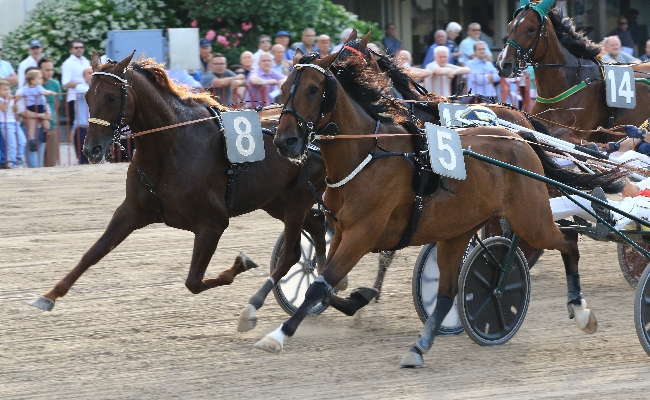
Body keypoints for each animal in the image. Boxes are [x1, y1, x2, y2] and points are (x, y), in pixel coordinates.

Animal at [258, 48, 616, 368]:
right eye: (283, 87)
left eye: (313, 89)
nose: (284, 141)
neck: (368, 153)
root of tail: (520, 138)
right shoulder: (344, 231)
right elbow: (325, 283)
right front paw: (358, 297)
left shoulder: (362, 234)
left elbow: (320, 285)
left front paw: (277, 336)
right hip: (458, 231)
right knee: (447, 292)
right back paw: (418, 347)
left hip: (531, 219)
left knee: (567, 244)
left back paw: (580, 311)